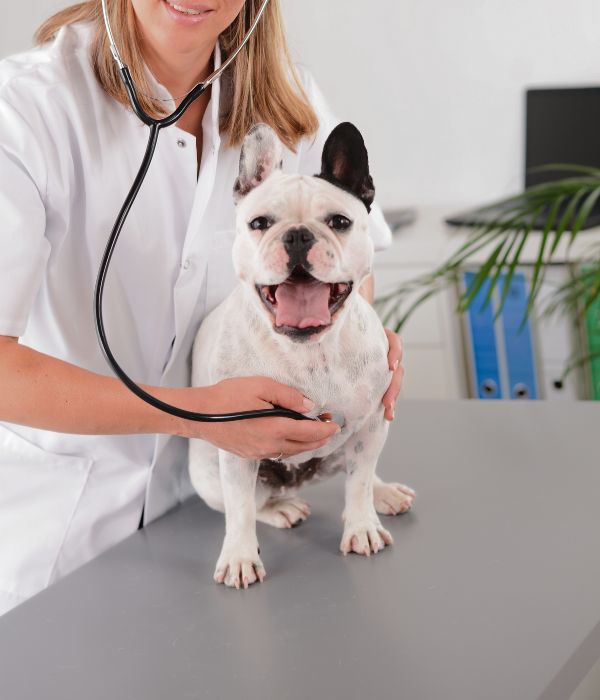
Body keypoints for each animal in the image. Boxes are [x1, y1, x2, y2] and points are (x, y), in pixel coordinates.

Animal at [190, 123, 414, 588]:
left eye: (340, 222)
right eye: (259, 223)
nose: (296, 234)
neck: (311, 350)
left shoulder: (372, 425)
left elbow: (359, 484)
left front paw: (362, 526)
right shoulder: (237, 449)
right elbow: (240, 510)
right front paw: (239, 557)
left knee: (360, 474)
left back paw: (383, 493)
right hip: (208, 475)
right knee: (252, 503)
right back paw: (281, 508)